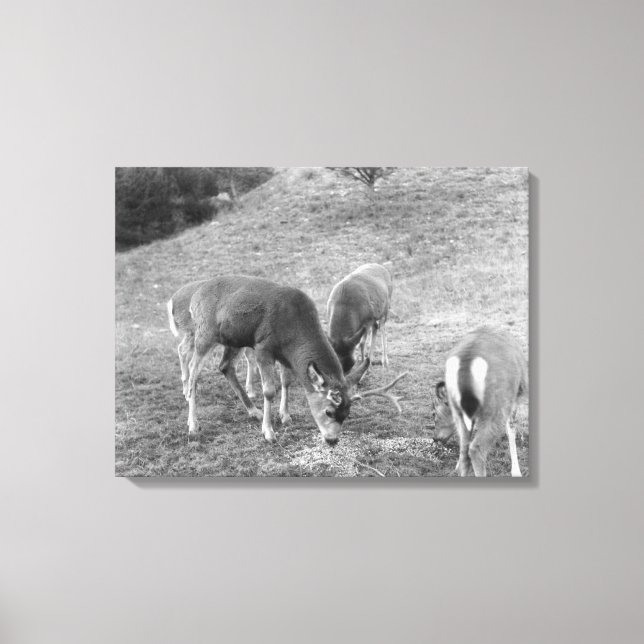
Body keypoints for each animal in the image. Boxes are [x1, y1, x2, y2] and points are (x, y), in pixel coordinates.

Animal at [167, 275, 407, 444]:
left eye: (347, 414)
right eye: (328, 411)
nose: (332, 440)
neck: (293, 330)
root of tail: (195, 296)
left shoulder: (284, 355)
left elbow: (286, 382)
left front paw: (285, 415)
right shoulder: (263, 347)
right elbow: (269, 390)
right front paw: (269, 432)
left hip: (232, 340)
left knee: (225, 367)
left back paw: (253, 411)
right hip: (204, 334)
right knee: (194, 372)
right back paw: (193, 424)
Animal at [433, 326, 528, 477]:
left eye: (435, 412)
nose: (435, 438)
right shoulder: (513, 400)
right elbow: (511, 431)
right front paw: (516, 472)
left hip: (462, 413)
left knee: (465, 452)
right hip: (495, 409)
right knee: (476, 449)